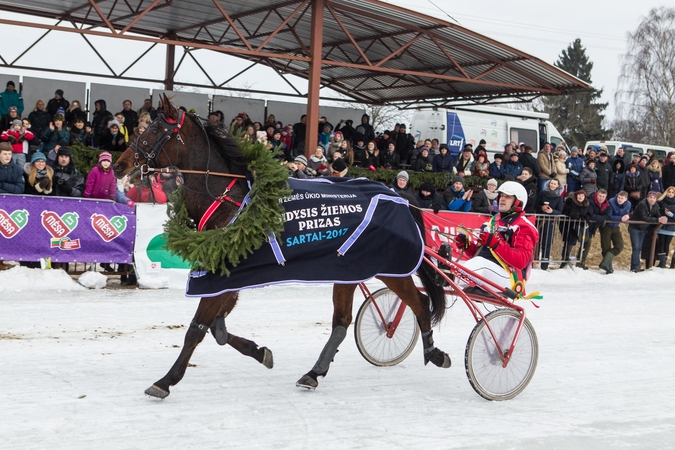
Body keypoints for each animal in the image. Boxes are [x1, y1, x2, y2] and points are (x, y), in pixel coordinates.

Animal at [113, 94, 452, 398]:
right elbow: (218, 330)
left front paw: (166, 381)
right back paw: (314, 373)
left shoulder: (222, 275)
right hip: (347, 268)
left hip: (390, 267)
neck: (228, 199)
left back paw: (434, 352)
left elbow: (197, 329)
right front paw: (260, 351)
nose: (119, 165)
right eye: (144, 125)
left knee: (420, 303)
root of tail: (398, 196)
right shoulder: (228, 278)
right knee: (342, 322)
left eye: (155, 130)